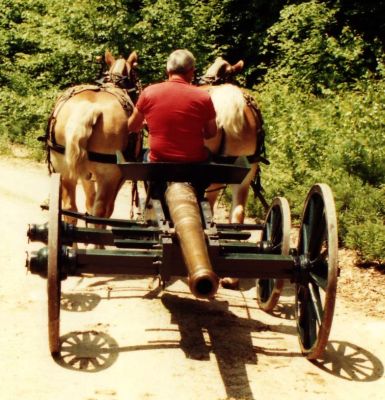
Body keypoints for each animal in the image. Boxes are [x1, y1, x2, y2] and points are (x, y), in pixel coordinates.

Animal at [45, 50, 141, 222]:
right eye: (136, 74)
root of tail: (88, 107)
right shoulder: (119, 176)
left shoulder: (85, 171)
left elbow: (89, 201)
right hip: (108, 175)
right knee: (100, 212)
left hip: (63, 165)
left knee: (70, 208)